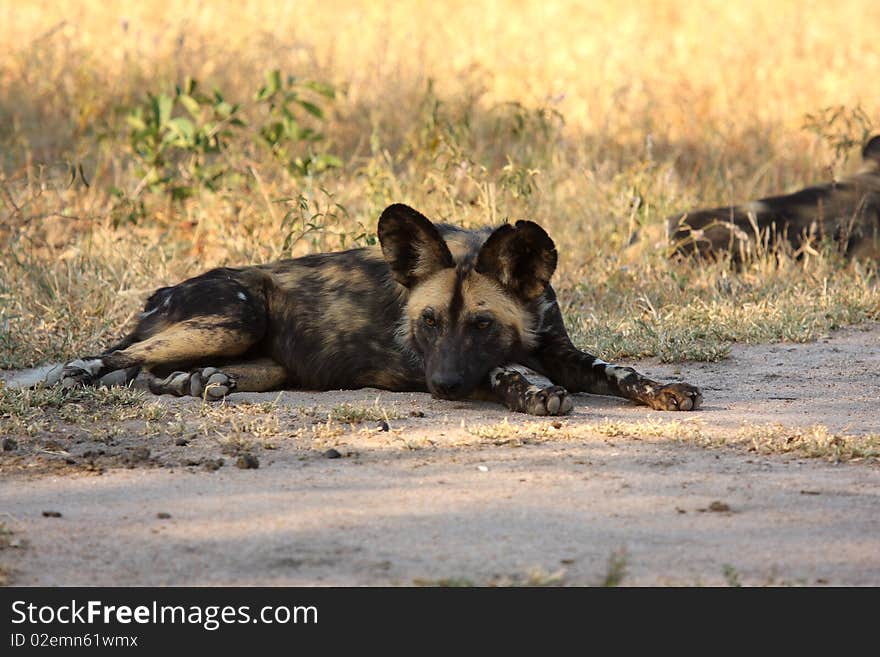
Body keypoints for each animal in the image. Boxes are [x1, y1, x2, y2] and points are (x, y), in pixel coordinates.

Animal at [56, 204, 700, 416]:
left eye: (483, 324)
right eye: (428, 323)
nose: (444, 387)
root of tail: (160, 290)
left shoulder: (559, 350)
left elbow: (618, 370)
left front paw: (664, 388)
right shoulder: (422, 363)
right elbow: (503, 370)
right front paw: (531, 392)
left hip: (266, 360)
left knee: (152, 370)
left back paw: (199, 383)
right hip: (238, 316)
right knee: (107, 359)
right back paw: (84, 376)